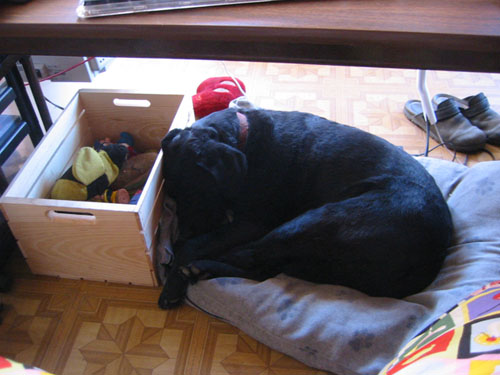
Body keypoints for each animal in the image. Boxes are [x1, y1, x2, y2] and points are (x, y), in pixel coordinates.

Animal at [159, 107, 454, 310]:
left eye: (198, 193)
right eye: (172, 195)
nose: (180, 233)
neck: (244, 138)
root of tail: (432, 258)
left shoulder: (254, 222)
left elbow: (195, 245)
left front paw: (172, 282)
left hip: (315, 221)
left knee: (252, 258)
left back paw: (199, 268)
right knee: (262, 269)